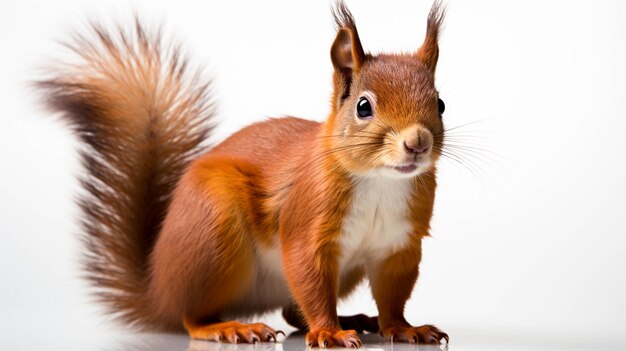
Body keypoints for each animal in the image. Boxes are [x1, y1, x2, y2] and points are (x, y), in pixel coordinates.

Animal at [37, 0, 448, 350]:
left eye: (441, 103)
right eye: (363, 107)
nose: (417, 143)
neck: (381, 181)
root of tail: (158, 290)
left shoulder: (399, 245)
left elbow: (393, 296)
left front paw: (403, 328)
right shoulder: (306, 224)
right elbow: (311, 281)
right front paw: (329, 333)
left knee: (291, 310)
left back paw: (355, 318)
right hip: (212, 238)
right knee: (192, 316)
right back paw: (229, 327)